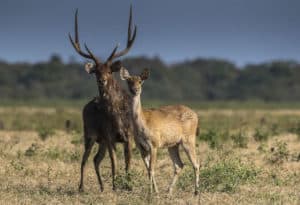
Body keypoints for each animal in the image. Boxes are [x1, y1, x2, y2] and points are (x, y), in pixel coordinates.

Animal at [68, 6, 137, 192]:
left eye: (109, 71)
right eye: (96, 71)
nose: (102, 80)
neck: (117, 116)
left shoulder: (128, 136)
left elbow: (128, 163)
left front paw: (128, 185)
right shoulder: (109, 135)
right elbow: (114, 164)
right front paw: (115, 186)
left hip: (101, 141)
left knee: (95, 159)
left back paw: (101, 186)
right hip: (90, 133)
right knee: (85, 159)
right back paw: (82, 187)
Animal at [119, 67, 199, 195]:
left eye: (140, 81)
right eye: (129, 81)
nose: (135, 90)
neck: (143, 124)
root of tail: (196, 115)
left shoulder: (154, 144)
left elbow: (151, 169)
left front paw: (151, 192)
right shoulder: (141, 148)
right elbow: (148, 169)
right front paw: (155, 191)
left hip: (189, 139)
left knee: (196, 163)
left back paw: (196, 191)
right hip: (173, 145)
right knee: (179, 165)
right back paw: (168, 191)